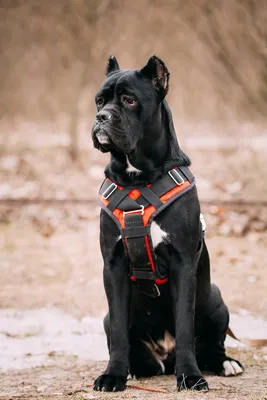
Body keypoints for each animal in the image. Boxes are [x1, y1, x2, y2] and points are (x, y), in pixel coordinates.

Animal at [92, 55, 245, 390]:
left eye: (129, 100)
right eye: (99, 101)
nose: (101, 117)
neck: (138, 177)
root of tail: (165, 356)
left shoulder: (183, 263)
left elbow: (185, 326)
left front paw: (190, 376)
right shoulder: (113, 265)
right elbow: (119, 330)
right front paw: (114, 375)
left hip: (216, 300)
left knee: (213, 346)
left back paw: (225, 363)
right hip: (107, 318)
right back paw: (134, 368)